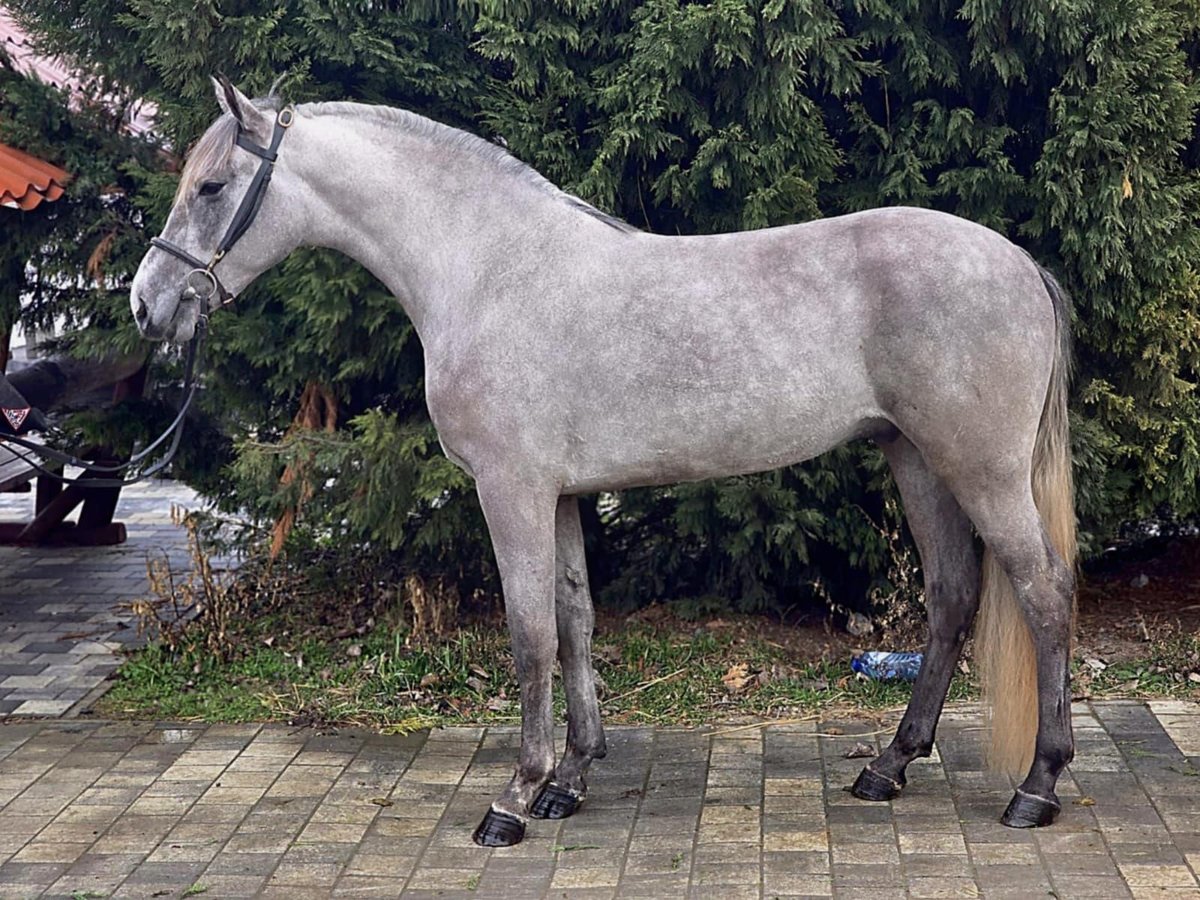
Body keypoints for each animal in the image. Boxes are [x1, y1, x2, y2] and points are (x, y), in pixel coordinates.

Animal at [131, 81, 1080, 849]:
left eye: (212, 188)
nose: (148, 304)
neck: (489, 268)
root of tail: (1018, 261)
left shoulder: (510, 491)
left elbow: (528, 637)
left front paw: (514, 799)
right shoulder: (556, 496)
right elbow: (576, 621)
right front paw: (571, 780)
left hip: (982, 471)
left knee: (1042, 591)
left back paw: (1036, 788)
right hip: (916, 459)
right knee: (952, 596)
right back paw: (888, 766)